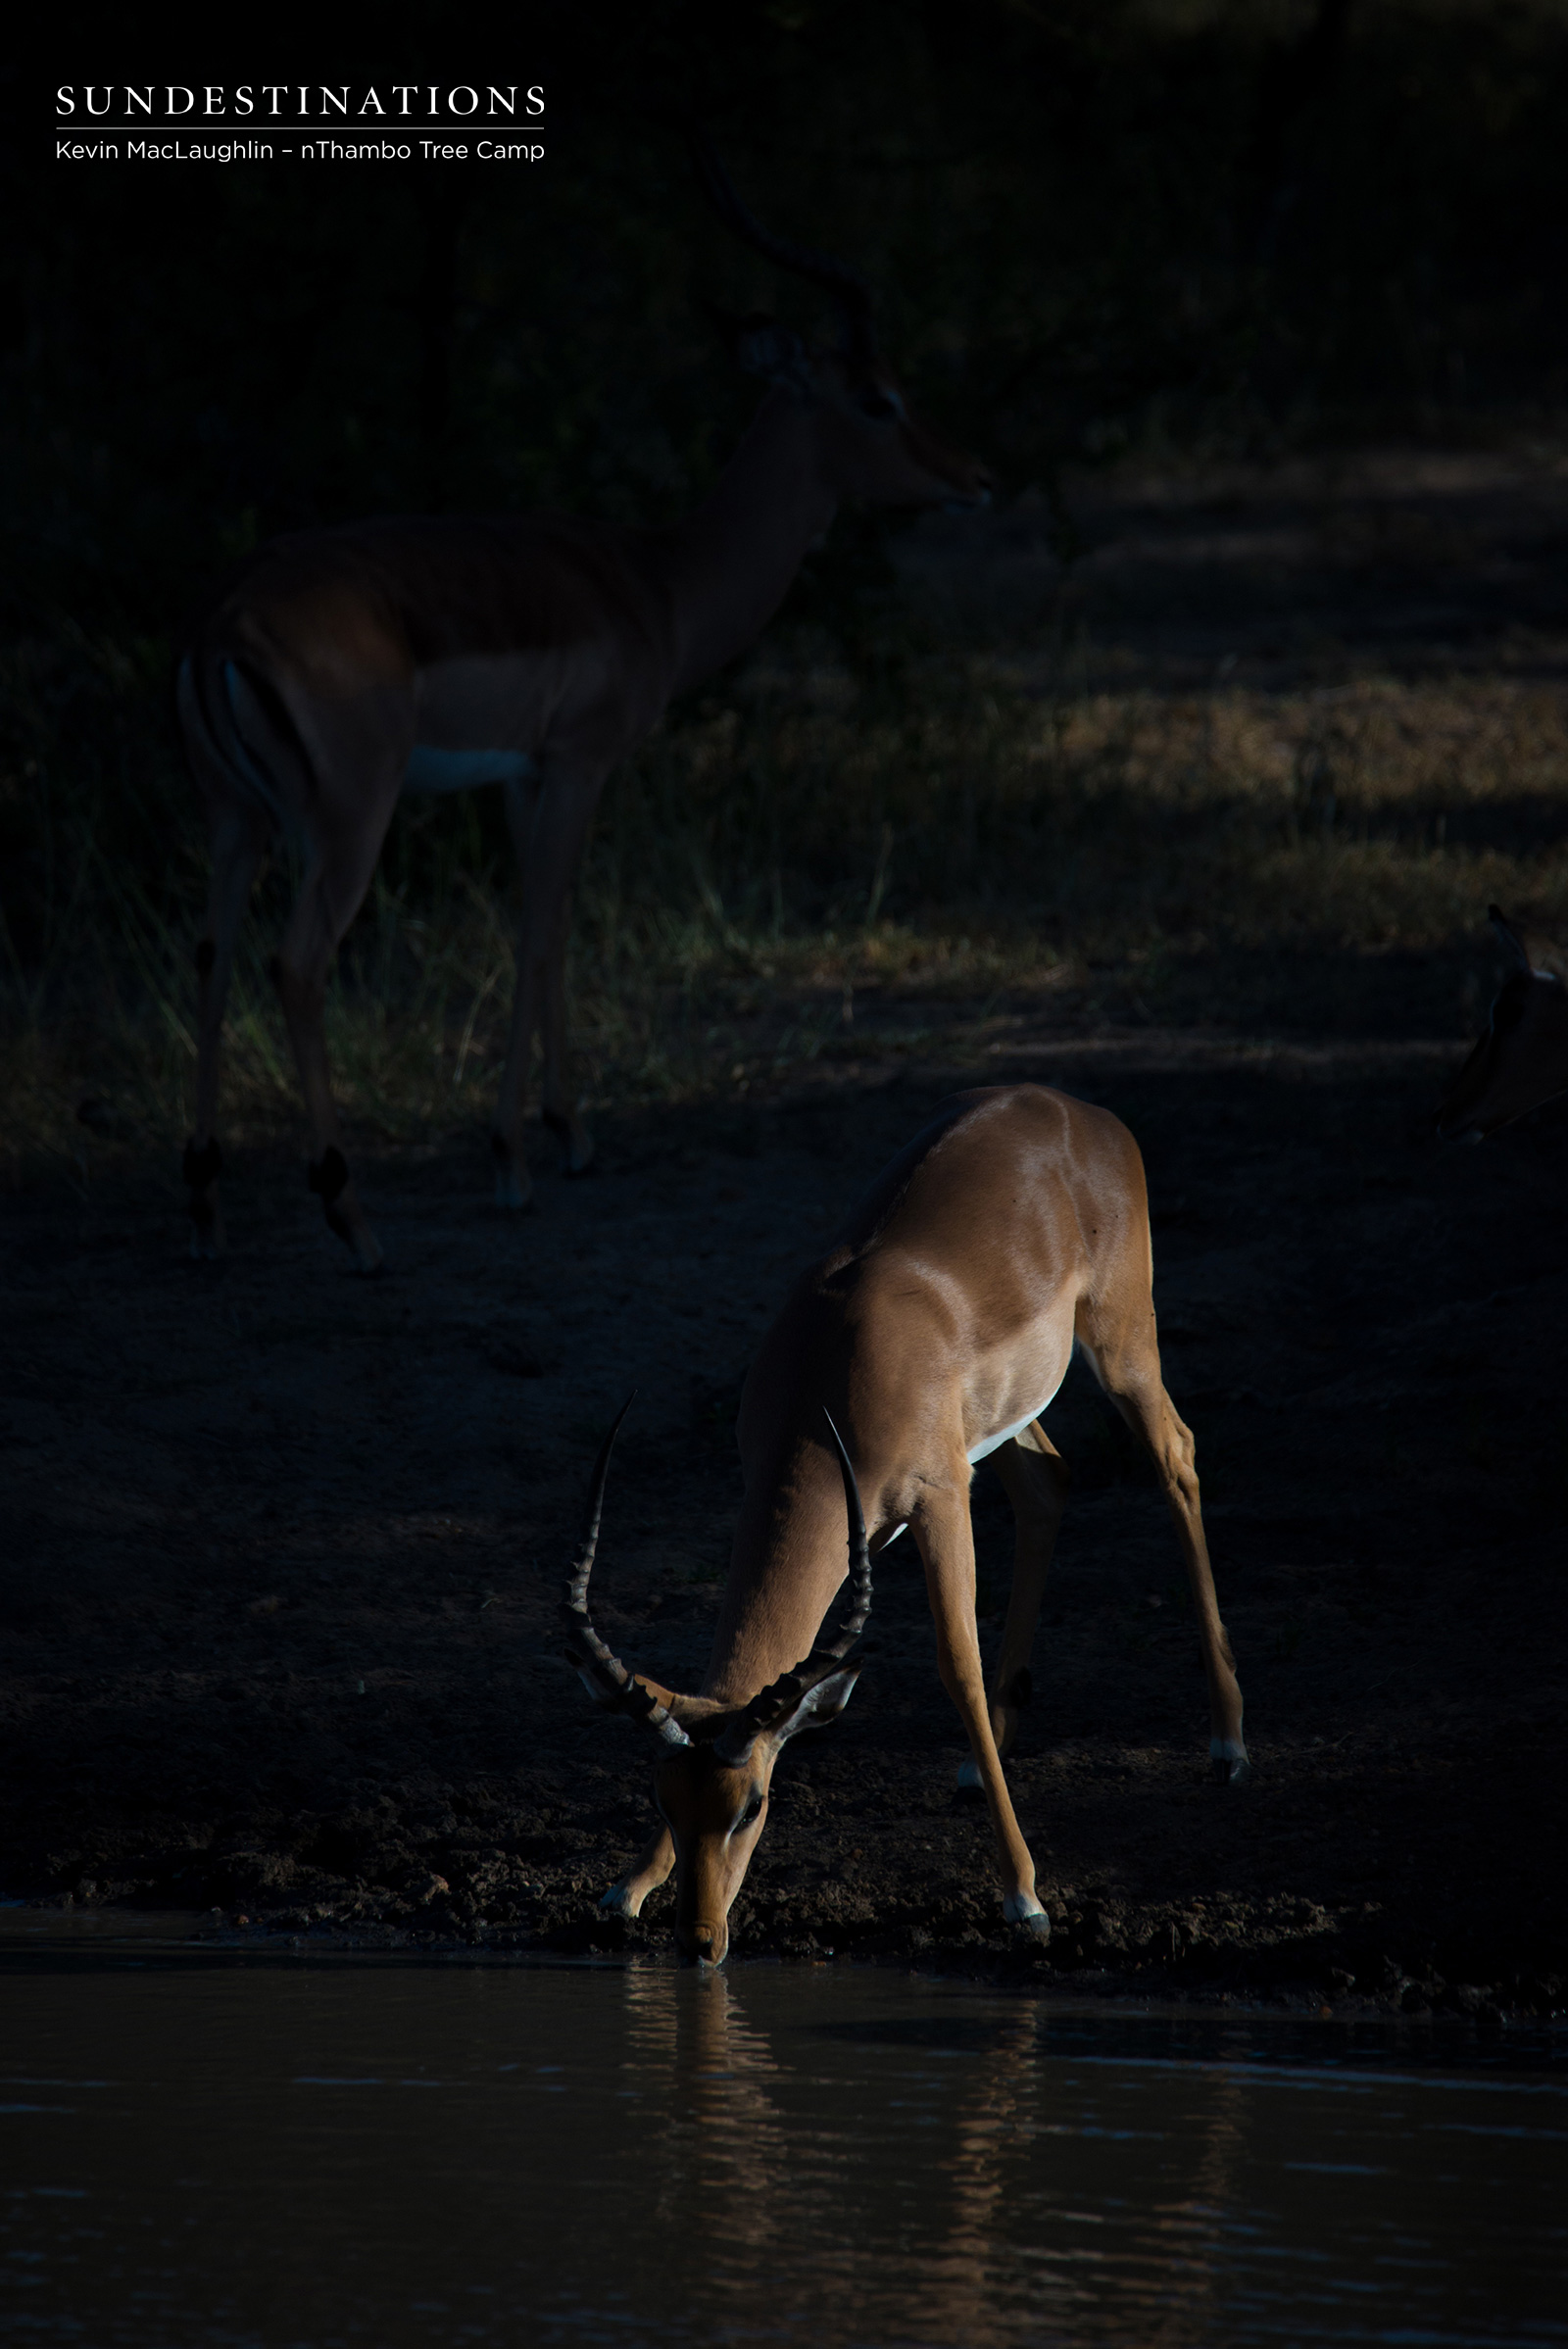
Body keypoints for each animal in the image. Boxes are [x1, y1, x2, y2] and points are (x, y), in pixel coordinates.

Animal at [175, 139, 990, 1268]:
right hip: (347, 821)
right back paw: (352, 1217)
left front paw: (563, 1134)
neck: (655, 580)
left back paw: (206, 1207)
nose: (976, 476)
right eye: (878, 399)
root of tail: (224, 621)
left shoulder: (523, 776)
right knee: (295, 963)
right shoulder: (580, 763)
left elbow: (548, 926)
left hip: (234, 819)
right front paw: (518, 1155)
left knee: (210, 958)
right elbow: (542, 926)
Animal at [562, 1083, 1250, 1965]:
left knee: (1177, 1457)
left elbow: (957, 1665)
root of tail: (1077, 1109)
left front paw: (1026, 1898)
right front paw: (629, 1884)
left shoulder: (940, 1496)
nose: (699, 1942)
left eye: (754, 1802)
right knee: (1049, 1482)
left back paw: (1228, 1744)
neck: (833, 1364)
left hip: (1122, 1342)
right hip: (1005, 1422)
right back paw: (991, 1750)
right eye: (666, 1801)